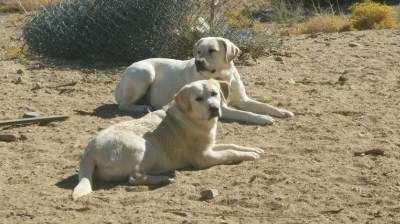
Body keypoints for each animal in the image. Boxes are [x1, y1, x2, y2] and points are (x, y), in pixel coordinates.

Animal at [73, 79, 264, 200]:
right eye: (198, 98)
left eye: (214, 93)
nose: (214, 108)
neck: (192, 118)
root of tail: (89, 151)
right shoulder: (204, 157)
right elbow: (231, 152)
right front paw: (249, 155)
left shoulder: (211, 146)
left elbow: (232, 144)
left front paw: (253, 149)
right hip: (146, 146)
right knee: (133, 177)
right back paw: (163, 179)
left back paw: (164, 174)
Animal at [115, 36, 294, 125]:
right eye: (198, 51)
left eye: (212, 50)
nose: (198, 62)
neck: (223, 76)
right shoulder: (222, 108)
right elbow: (245, 113)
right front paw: (263, 118)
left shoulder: (243, 100)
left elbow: (266, 106)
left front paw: (282, 111)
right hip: (145, 72)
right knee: (123, 104)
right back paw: (141, 108)